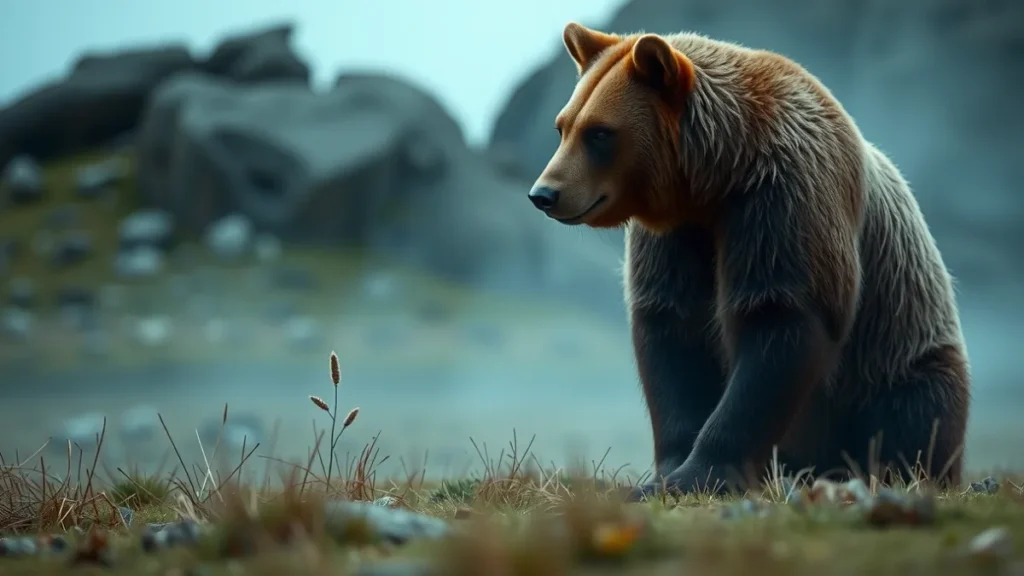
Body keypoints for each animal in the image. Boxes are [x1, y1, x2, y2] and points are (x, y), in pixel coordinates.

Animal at [527, 22, 971, 498]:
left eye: (599, 133)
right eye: (563, 126)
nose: (544, 193)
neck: (717, 176)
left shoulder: (785, 196)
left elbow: (779, 322)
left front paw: (701, 473)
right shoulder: (678, 236)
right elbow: (672, 332)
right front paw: (665, 472)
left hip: (897, 348)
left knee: (915, 410)